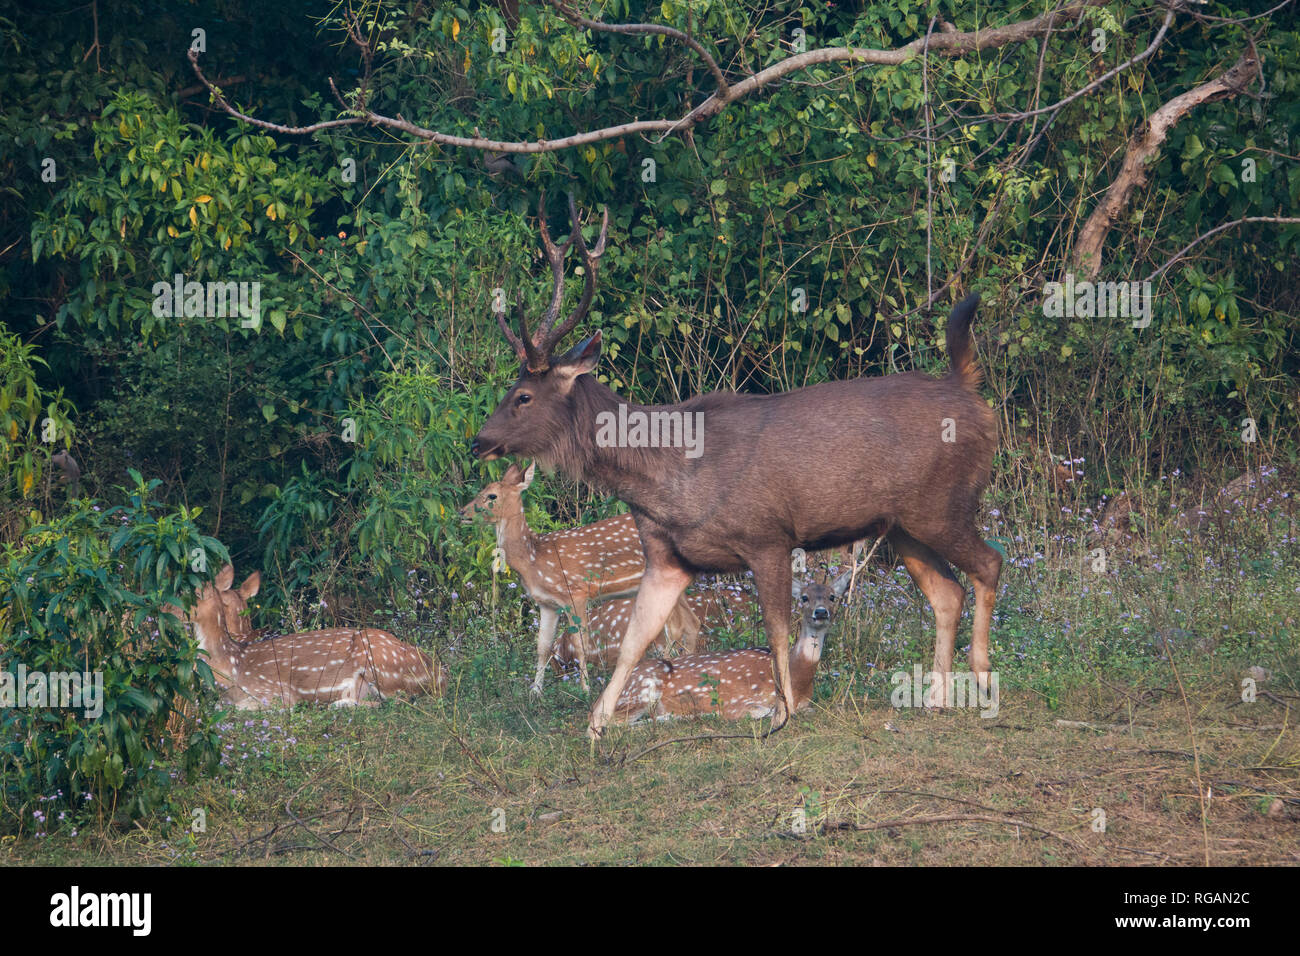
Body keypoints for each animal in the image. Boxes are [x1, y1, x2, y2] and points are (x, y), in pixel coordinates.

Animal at [170, 564, 446, 710]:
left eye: (185, 594)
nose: (165, 611)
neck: (232, 664)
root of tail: (439, 674)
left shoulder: (276, 693)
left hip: (380, 663)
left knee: (395, 700)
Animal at [459, 461, 701, 695]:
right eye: (482, 490)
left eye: (492, 495)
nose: (462, 512)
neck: (533, 559)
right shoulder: (547, 604)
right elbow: (542, 646)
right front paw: (535, 692)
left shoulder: (575, 593)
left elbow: (580, 644)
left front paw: (585, 689)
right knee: (690, 624)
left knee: (677, 628)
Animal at [611, 567, 853, 723]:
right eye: (804, 597)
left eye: (833, 596)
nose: (820, 612)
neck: (797, 678)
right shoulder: (741, 701)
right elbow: (757, 713)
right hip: (641, 689)